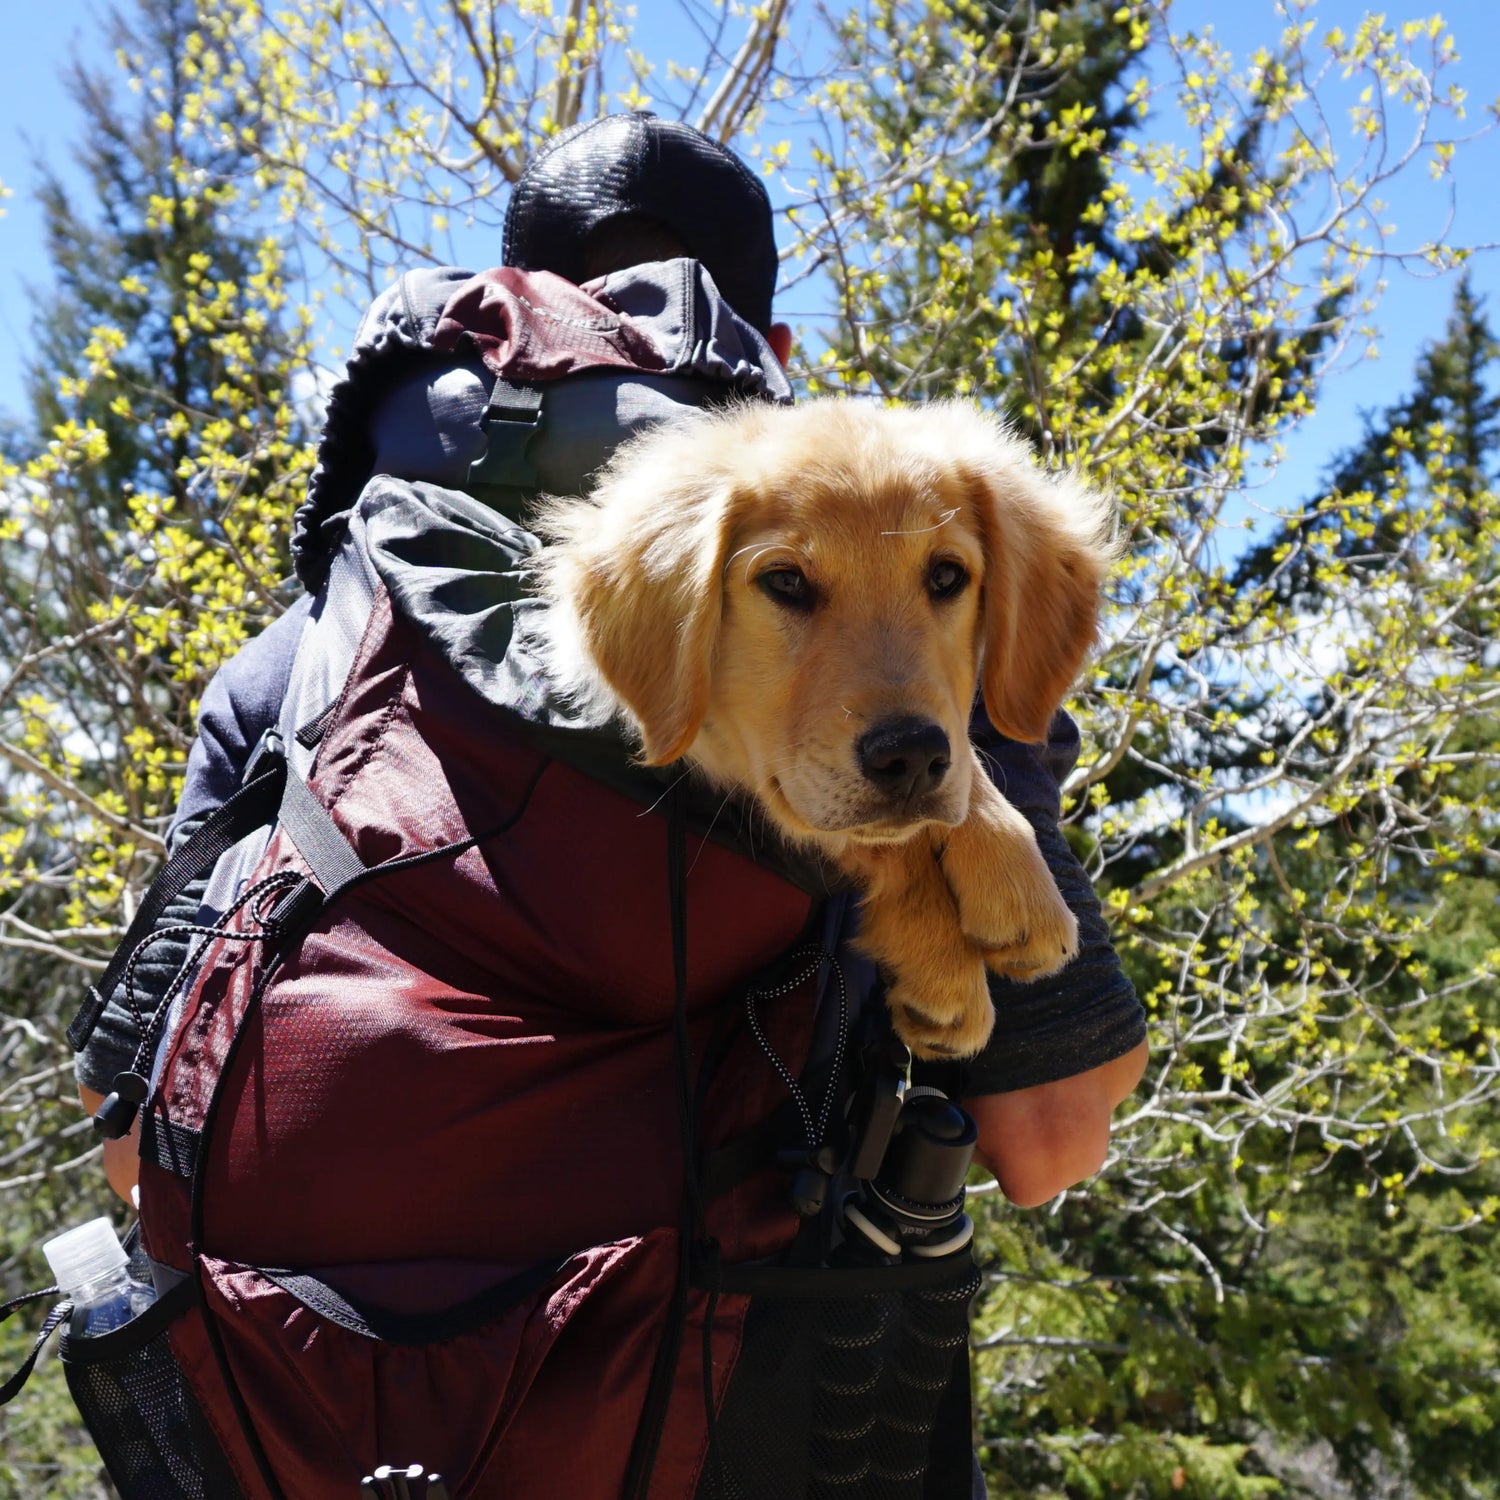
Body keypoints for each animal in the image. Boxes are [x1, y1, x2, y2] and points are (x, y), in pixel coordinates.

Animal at [537, 399, 1116, 1056]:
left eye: (947, 576)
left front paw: (1008, 870)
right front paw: (945, 956)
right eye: (785, 581)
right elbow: (853, 832)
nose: (912, 758)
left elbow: (953, 773)